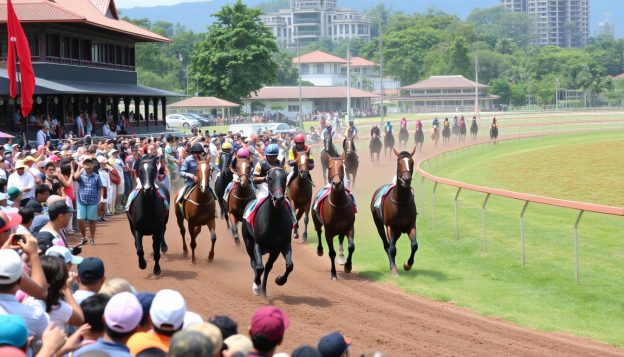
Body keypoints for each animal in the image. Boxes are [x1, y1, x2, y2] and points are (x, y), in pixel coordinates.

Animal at [241, 168, 294, 296]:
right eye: (269, 178)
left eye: (284, 178)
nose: (278, 199)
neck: (273, 220)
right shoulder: (258, 244)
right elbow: (259, 267)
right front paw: (256, 287)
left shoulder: (282, 245)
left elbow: (289, 265)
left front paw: (280, 280)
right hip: (248, 241)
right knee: (253, 262)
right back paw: (258, 286)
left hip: (273, 251)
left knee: (268, 267)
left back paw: (264, 291)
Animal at [370, 147, 420, 276]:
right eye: (399, 163)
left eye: (412, 162)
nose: (406, 180)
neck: (401, 201)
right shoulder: (390, 226)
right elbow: (392, 248)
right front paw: (394, 270)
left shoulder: (411, 225)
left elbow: (414, 245)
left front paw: (407, 265)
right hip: (378, 223)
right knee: (387, 244)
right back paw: (392, 265)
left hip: (398, 231)